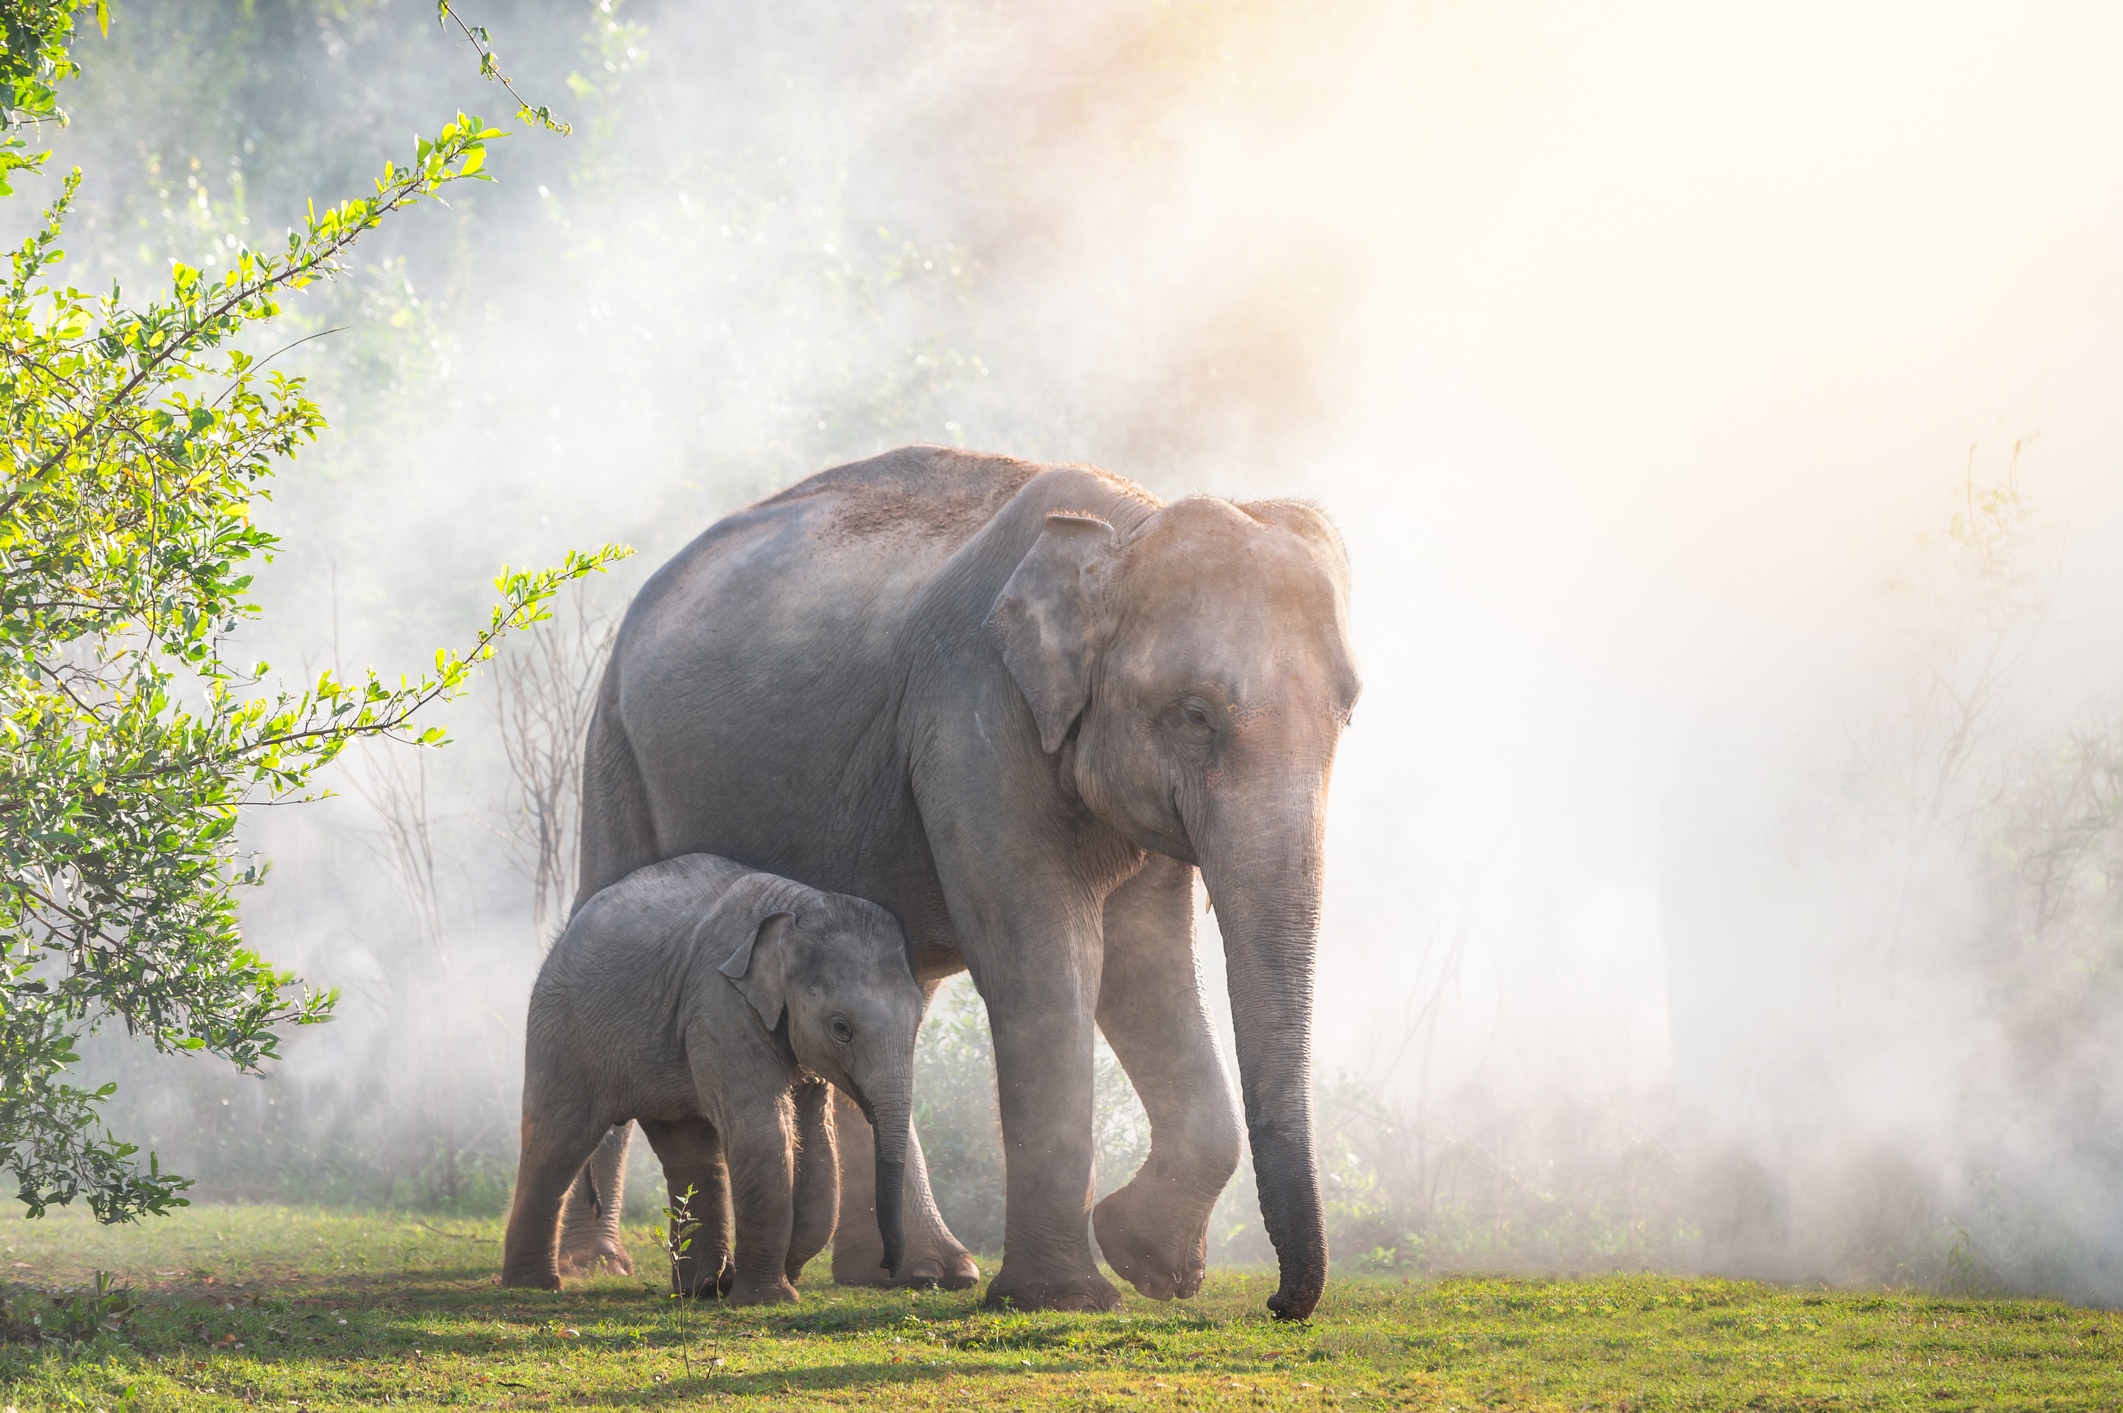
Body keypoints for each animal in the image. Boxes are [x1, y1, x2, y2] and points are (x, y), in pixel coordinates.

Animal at [509, 848, 925, 1298]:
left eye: (920, 1020)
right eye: (841, 1028)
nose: (888, 1265)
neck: (799, 909)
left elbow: (816, 1141)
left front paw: (770, 1278)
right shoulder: (719, 1004)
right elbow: (762, 1132)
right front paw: (766, 1297)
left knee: (687, 1148)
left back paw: (701, 1287)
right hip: (561, 1029)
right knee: (557, 1141)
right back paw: (535, 1285)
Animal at [564, 445, 1350, 1315]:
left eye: (1347, 709)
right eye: (1195, 713)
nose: (1276, 1304)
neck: (1123, 530)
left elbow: (1145, 968)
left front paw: (1146, 1262)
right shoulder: (973, 715)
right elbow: (1044, 965)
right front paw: (1067, 1296)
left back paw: (919, 1270)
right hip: (614, 749)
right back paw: (595, 1265)